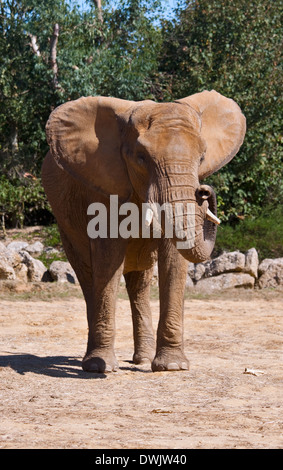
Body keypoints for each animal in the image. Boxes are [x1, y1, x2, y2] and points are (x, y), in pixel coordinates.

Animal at [42, 90, 246, 372]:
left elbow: (174, 257)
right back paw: (92, 361)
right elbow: (108, 258)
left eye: (202, 157)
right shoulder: (103, 187)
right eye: (141, 157)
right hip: (65, 225)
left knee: (139, 282)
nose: (203, 192)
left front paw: (173, 367)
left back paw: (143, 359)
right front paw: (100, 367)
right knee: (87, 276)